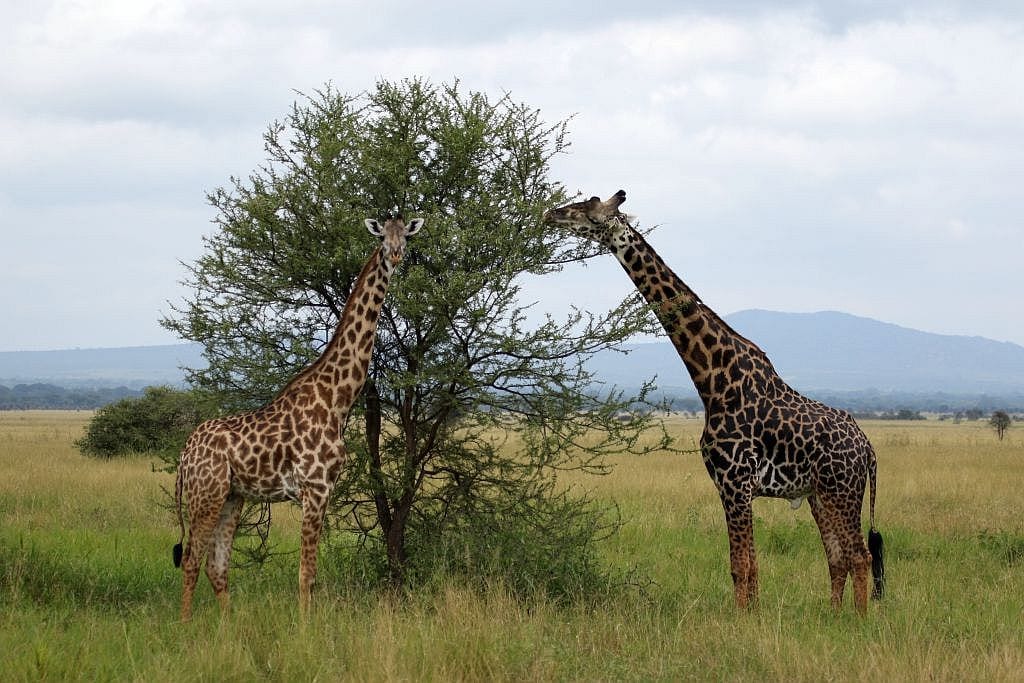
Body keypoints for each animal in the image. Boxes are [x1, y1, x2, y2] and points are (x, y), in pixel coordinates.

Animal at [172, 215, 423, 621]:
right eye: (382, 239)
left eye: (406, 236)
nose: (397, 255)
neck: (337, 399)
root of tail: (184, 454)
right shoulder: (315, 487)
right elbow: (307, 573)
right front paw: (307, 630)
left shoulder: (324, 489)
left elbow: (309, 572)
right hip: (205, 494)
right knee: (192, 560)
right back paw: (186, 627)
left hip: (231, 496)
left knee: (216, 566)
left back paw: (229, 628)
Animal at [544, 191, 884, 614]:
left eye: (587, 207)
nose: (549, 213)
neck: (713, 380)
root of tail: (868, 449)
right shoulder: (730, 485)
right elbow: (752, 566)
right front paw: (752, 616)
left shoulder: (735, 482)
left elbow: (741, 566)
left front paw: (742, 621)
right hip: (819, 494)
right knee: (837, 558)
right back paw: (834, 617)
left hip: (843, 490)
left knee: (860, 556)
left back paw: (858, 619)